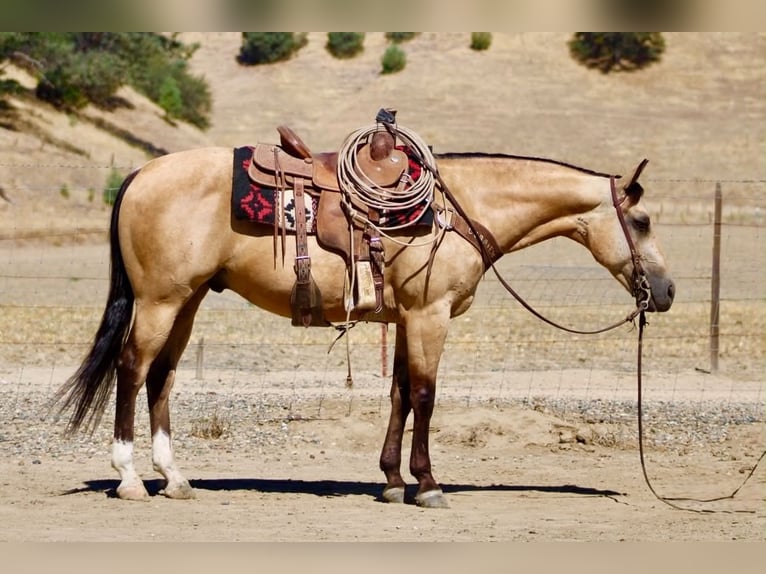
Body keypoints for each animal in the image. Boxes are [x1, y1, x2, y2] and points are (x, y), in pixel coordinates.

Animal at [54, 144, 675, 509]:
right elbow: (424, 395)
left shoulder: (406, 318)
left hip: (187, 301)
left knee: (162, 376)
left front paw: (393, 481)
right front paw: (428, 485)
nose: (666, 292)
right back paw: (131, 480)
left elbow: (399, 393)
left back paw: (176, 479)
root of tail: (140, 174)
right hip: (159, 301)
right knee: (132, 370)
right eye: (643, 220)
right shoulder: (430, 314)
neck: (459, 210)